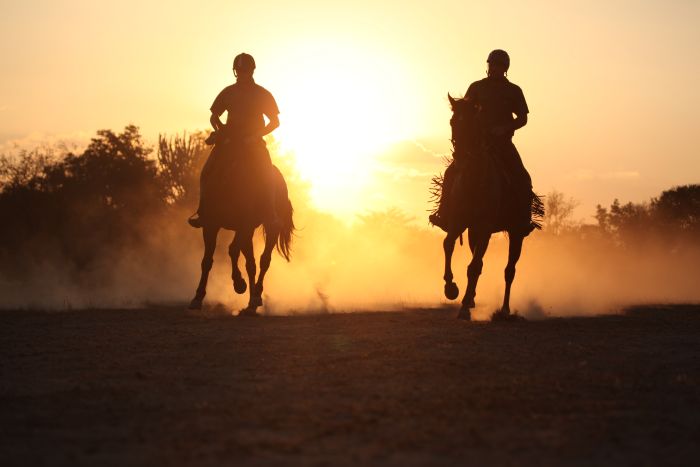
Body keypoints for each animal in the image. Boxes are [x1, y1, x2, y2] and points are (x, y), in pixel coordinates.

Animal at [187, 154, 294, 318]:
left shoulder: (245, 224)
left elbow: (232, 250)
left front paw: (239, 283)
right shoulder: (211, 225)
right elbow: (207, 260)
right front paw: (197, 298)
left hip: (269, 228)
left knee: (264, 260)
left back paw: (255, 298)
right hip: (246, 233)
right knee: (251, 264)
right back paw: (250, 304)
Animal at [440, 95, 544, 322]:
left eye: (472, 123)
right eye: (452, 122)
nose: (460, 156)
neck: (474, 179)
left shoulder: (486, 227)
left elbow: (474, 266)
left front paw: (463, 307)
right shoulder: (458, 222)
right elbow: (449, 245)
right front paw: (451, 288)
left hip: (515, 233)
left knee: (509, 271)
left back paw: (504, 310)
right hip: (473, 232)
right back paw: (471, 297)